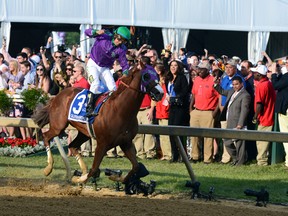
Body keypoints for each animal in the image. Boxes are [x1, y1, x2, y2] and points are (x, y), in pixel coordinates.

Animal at [32, 62, 163, 184]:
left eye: (156, 75)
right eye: (146, 76)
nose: (160, 93)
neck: (120, 110)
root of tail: (58, 95)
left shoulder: (126, 142)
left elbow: (135, 167)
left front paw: (115, 177)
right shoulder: (102, 144)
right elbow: (94, 169)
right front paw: (79, 178)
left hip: (84, 133)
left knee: (72, 146)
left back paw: (82, 170)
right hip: (58, 126)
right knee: (46, 136)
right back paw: (48, 168)